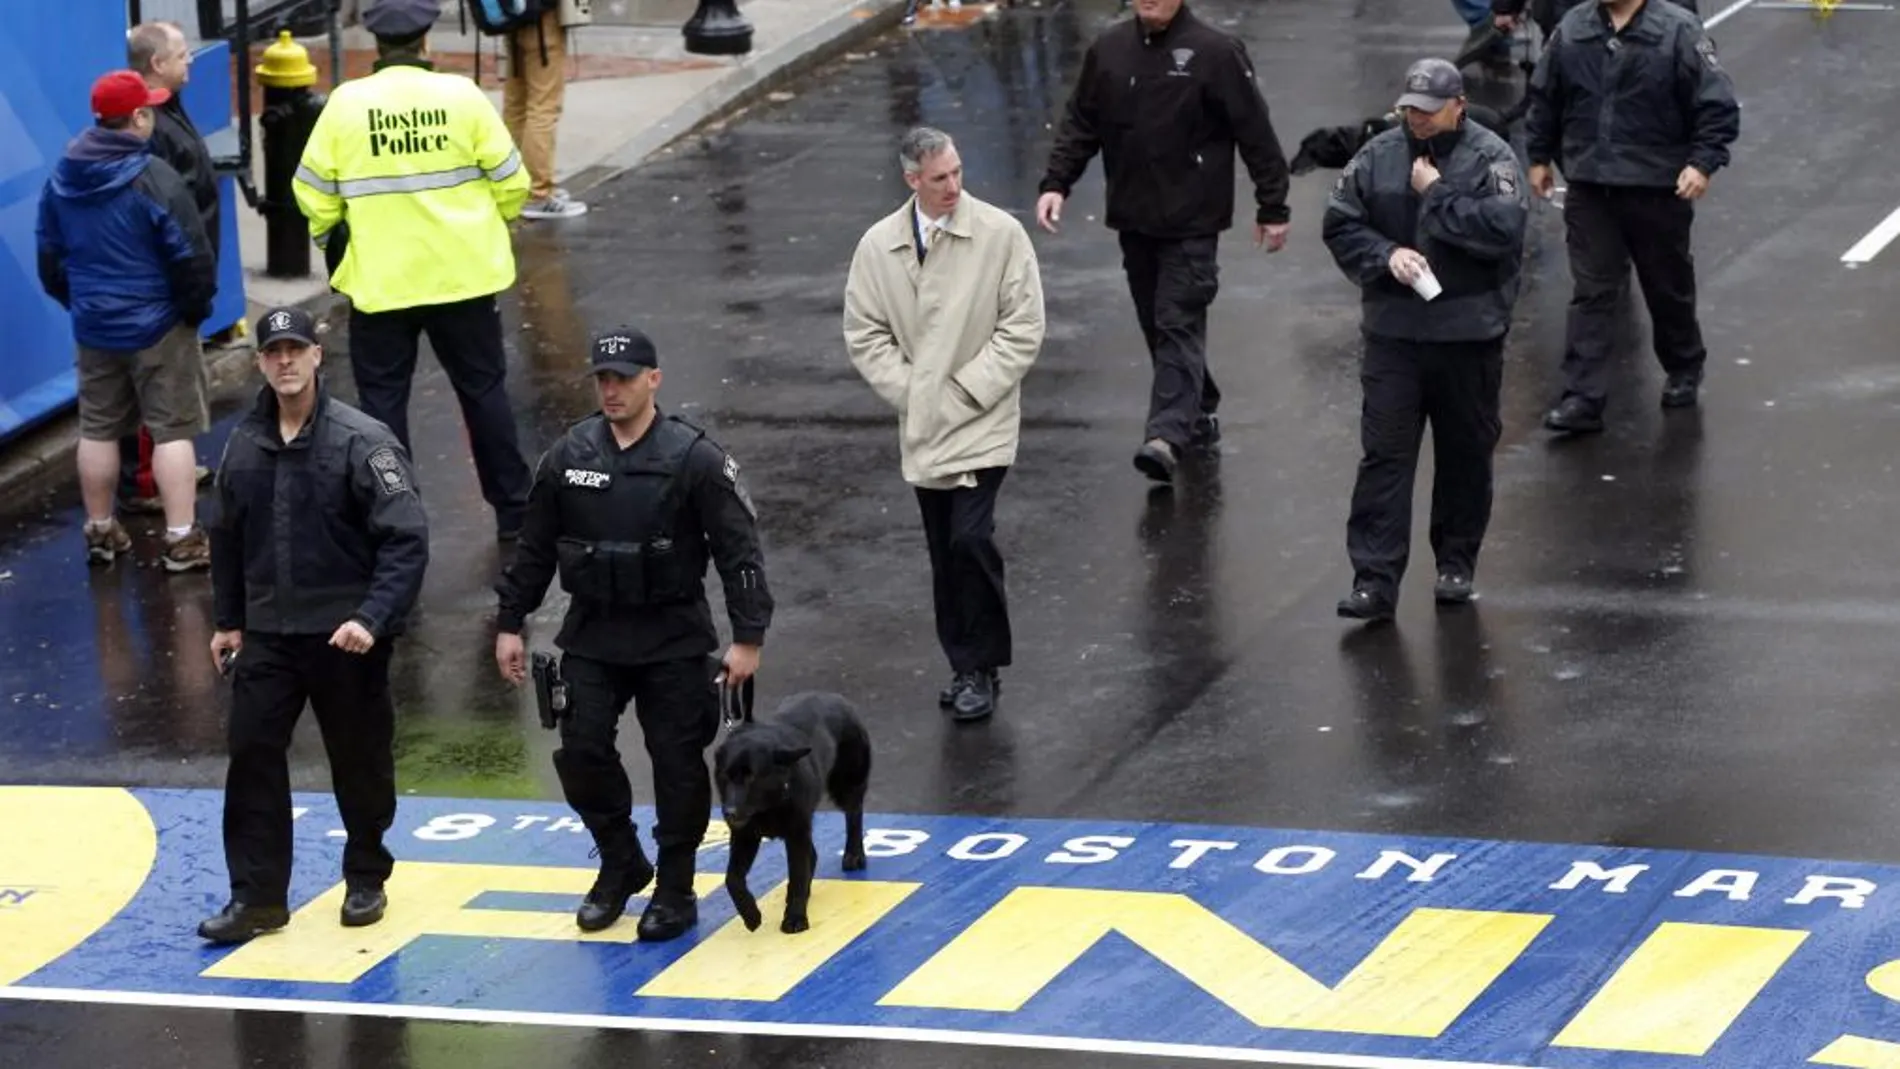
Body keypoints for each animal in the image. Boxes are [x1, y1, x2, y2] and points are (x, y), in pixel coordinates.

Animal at [710, 691, 870, 934]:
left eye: (751, 777)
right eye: (725, 776)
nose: (729, 812)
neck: (768, 805)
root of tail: (836, 698)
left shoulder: (796, 834)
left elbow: (797, 877)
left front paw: (795, 919)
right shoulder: (745, 836)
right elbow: (732, 879)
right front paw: (750, 914)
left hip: (847, 782)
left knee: (854, 815)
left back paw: (854, 855)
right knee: (813, 855)